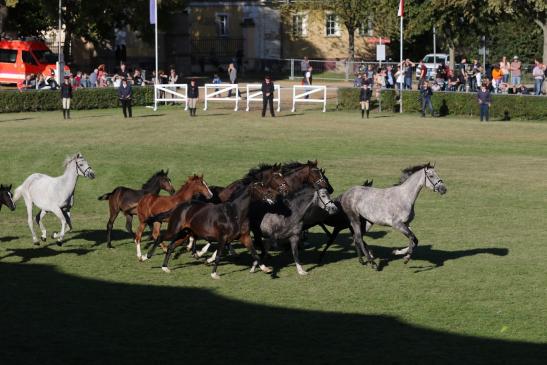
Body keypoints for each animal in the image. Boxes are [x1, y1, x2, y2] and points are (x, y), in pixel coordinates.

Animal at [147, 182, 278, 278]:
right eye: (261, 188)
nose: (274, 197)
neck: (235, 213)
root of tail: (178, 206)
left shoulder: (244, 237)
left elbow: (254, 252)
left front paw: (266, 269)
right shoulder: (223, 238)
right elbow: (219, 255)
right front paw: (214, 274)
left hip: (185, 233)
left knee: (171, 247)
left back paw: (165, 267)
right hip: (174, 230)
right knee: (160, 237)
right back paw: (146, 256)